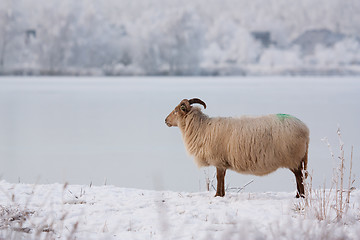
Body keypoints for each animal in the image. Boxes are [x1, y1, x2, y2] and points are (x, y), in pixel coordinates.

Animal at [166, 97, 310, 197]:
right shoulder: (223, 162)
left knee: (299, 177)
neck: (202, 128)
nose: (165, 120)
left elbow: (219, 178)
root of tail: (305, 129)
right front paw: (222, 195)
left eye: (176, 111)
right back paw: (298, 195)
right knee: (300, 176)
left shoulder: (218, 160)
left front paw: (217, 195)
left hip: (294, 158)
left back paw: (300, 196)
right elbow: (222, 177)